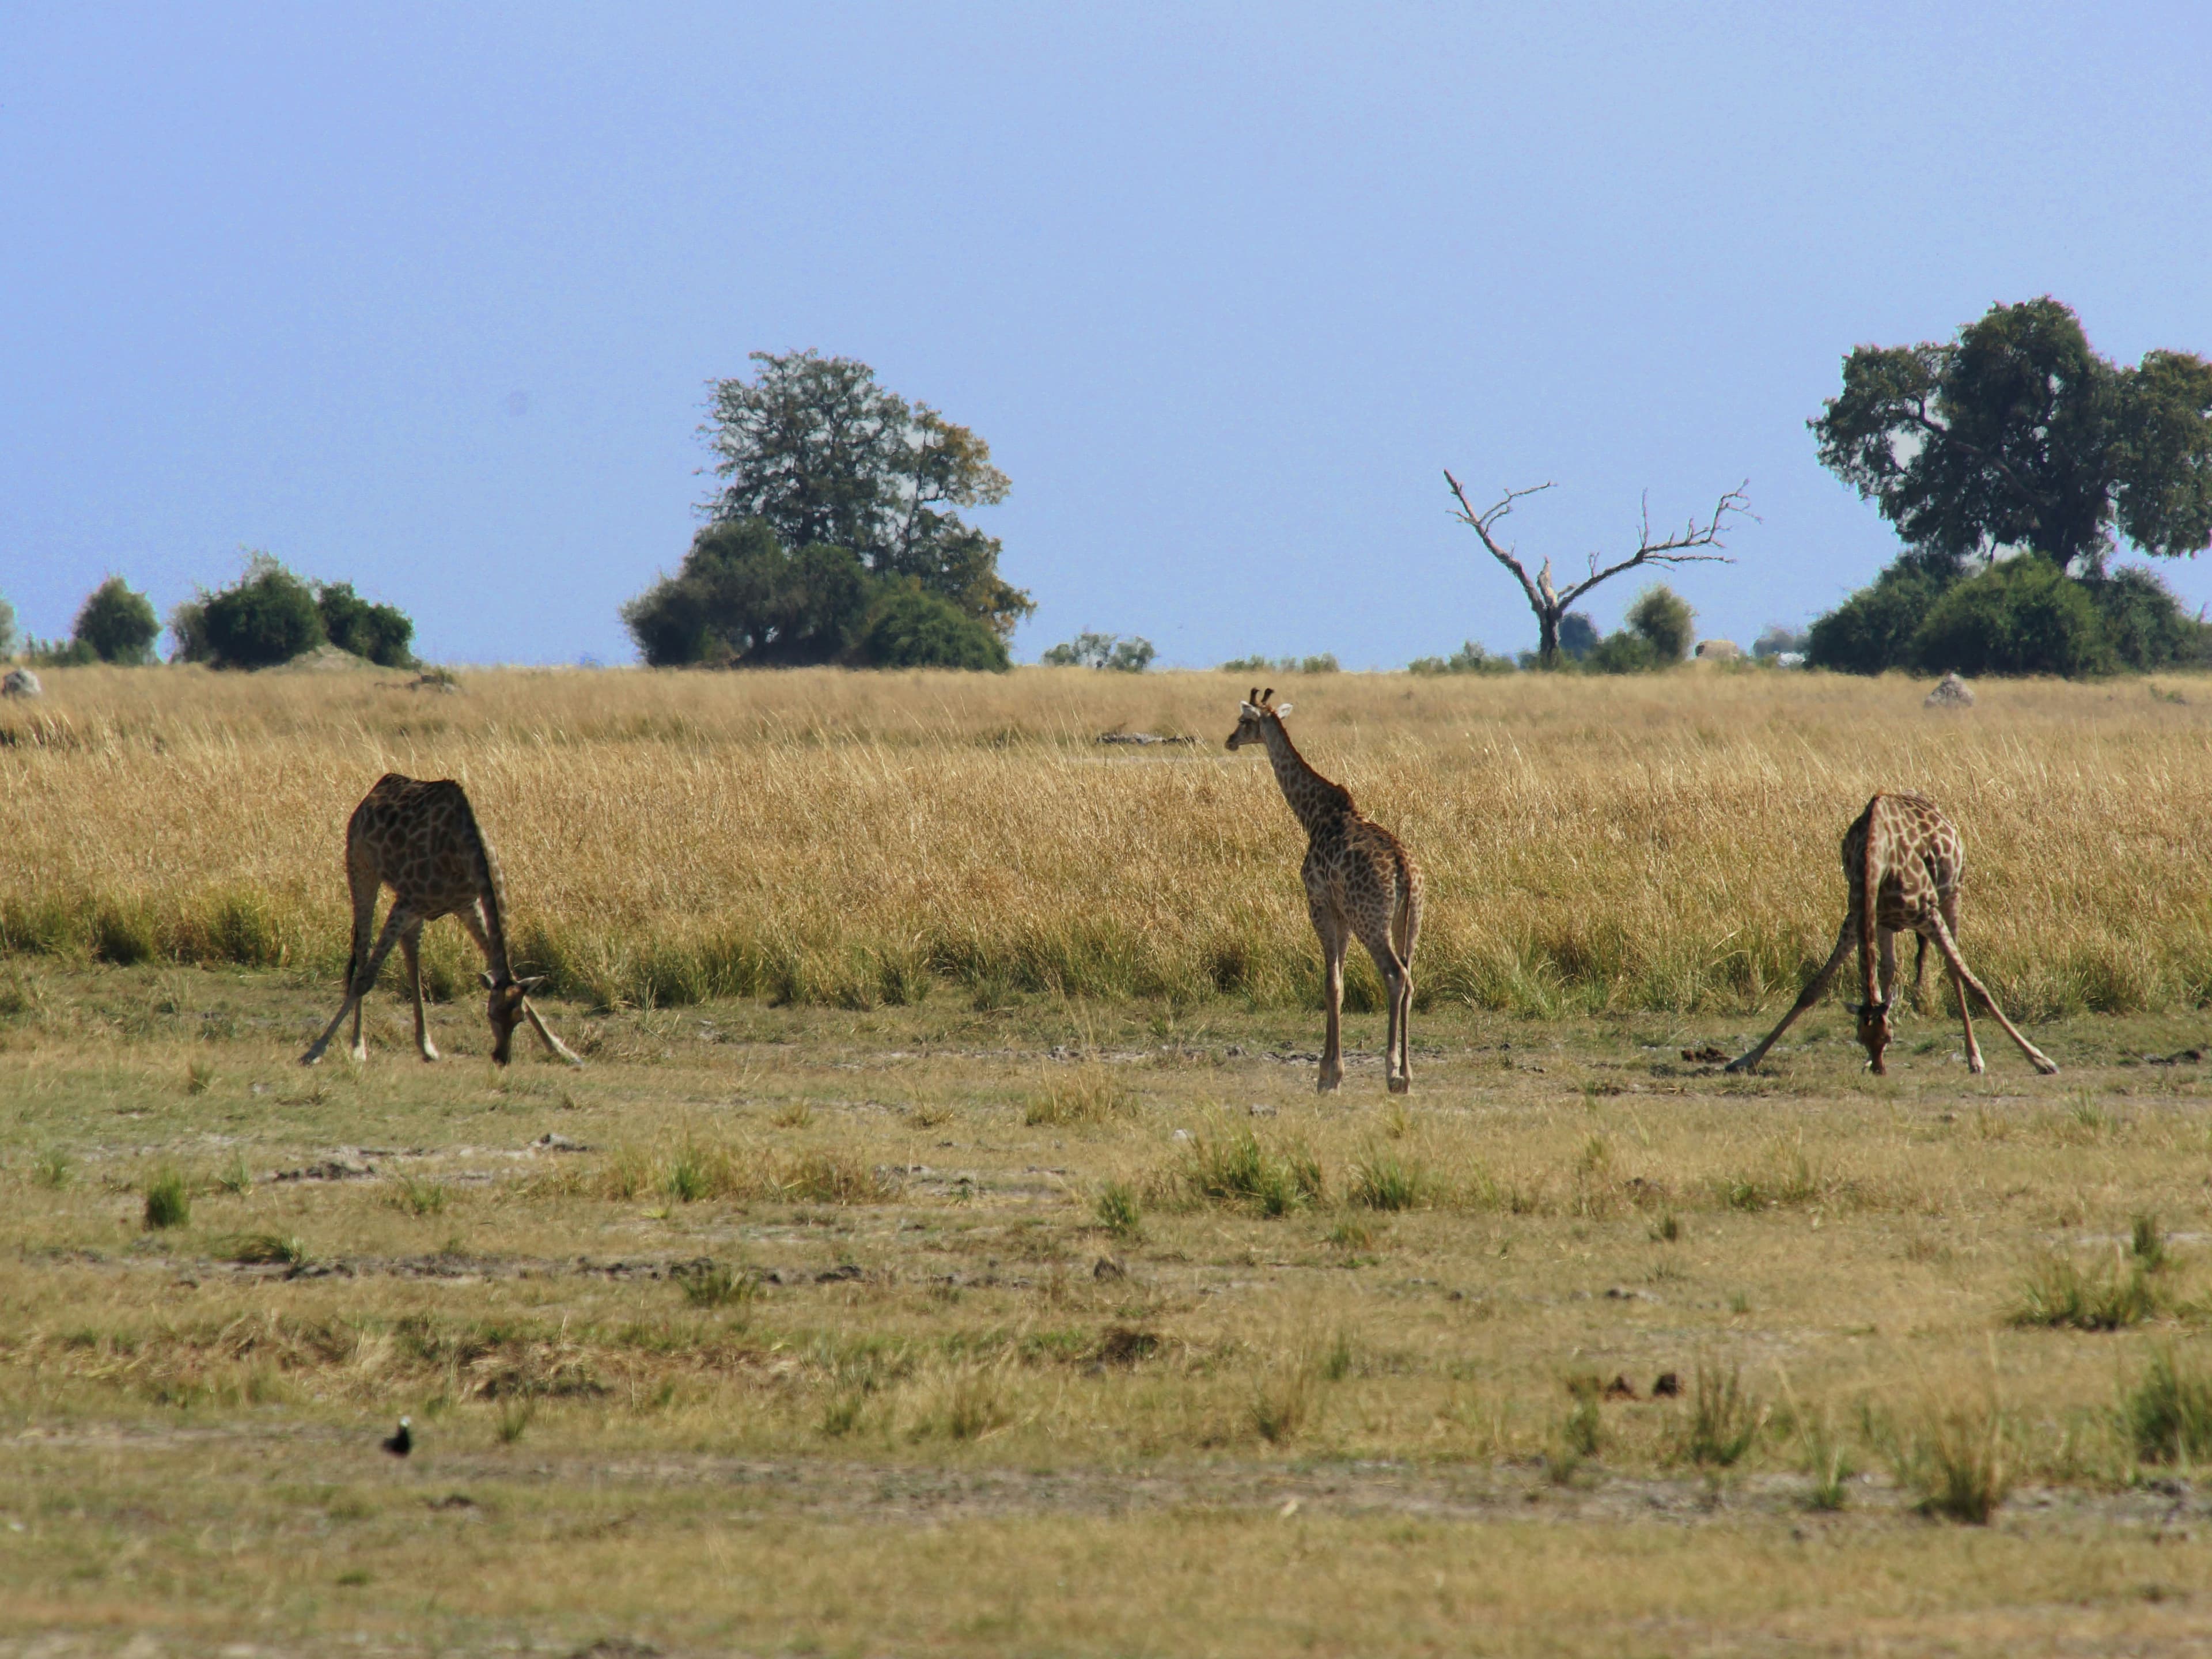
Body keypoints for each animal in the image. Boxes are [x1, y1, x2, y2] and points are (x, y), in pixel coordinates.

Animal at [299, 773, 580, 1068]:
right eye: (491, 1014)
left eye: (519, 1018)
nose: (501, 1057)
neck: (467, 852)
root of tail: (377, 789)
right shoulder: (407, 902)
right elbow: (366, 980)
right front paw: (315, 1050)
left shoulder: (466, 904)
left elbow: (509, 973)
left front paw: (563, 1050)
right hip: (362, 867)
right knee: (364, 952)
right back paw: (358, 1046)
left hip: (416, 906)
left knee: (411, 948)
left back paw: (426, 1046)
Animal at [1227, 689, 1424, 1093]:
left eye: (1243, 721)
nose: (1230, 741)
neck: (1312, 815)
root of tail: (1405, 874)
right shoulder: (1341, 911)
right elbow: (1341, 983)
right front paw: (1330, 1069)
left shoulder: (1319, 902)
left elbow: (1331, 982)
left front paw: (1328, 1075)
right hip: (1410, 922)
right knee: (1411, 980)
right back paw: (1408, 1075)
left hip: (1371, 921)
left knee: (1395, 975)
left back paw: (1392, 1071)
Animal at [1726, 791, 2057, 1077]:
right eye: (1861, 1038)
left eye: (1888, 1037)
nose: (1878, 1068)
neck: (1876, 858)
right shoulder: (1856, 918)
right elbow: (1812, 988)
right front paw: (1747, 1058)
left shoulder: (1928, 915)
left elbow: (1977, 986)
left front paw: (2040, 1059)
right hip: (1886, 923)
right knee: (1889, 970)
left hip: (1953, 894)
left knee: (1953, 971)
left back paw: (1974, 1057)